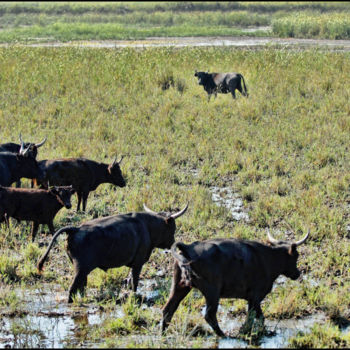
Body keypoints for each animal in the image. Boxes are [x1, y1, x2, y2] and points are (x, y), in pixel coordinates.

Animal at [37, 202, 187, 304]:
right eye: (172, 227)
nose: (173, 242)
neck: (148, 226)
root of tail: (76, 229)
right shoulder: (138, 264)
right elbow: (135, 282)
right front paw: (134, 296)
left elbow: (129, 280)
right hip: (81, 269)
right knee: (72, 289)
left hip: (82, 270)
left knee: (82, 287)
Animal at [161, 230, 308, 336]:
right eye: (296, 256)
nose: (297, 274)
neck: (269, 258)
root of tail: (188, 247)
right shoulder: (255, 297)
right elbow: (257, 317)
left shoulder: (251, 299)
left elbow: (253, 317)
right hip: (212, 292)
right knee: (209, 315)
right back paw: (223, 335)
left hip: (180, 286)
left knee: (168, 309)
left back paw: (162, 334)